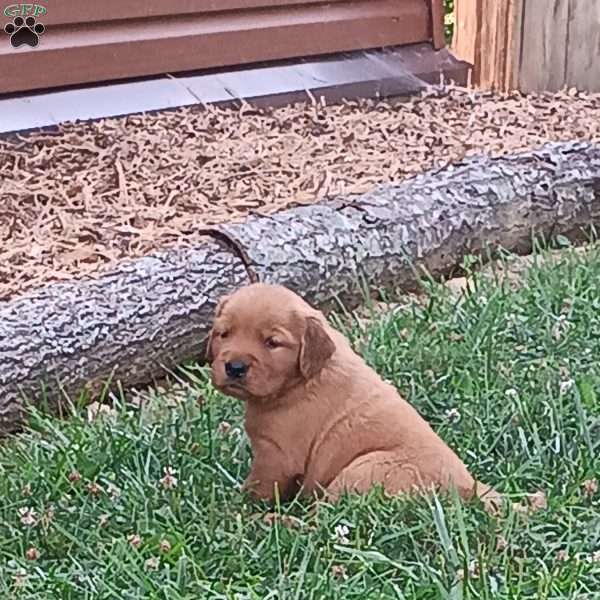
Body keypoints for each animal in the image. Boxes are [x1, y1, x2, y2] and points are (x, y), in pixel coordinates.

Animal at [206, 282, 502, 510]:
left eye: (272, 342)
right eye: (224, 334)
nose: (234, 367)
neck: (303, 378)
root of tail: (468, 485)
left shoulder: (275, 454)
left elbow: (258, 487)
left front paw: (239, 509)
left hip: (363, 469)